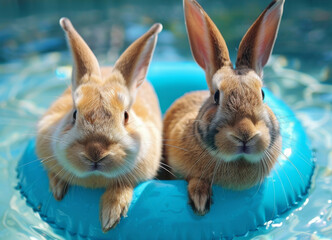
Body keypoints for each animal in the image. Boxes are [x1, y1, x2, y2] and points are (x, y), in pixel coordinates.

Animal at [36, 17, 163, 232]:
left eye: (125, 116)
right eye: (74, 114)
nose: (95, 152)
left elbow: (122, 186)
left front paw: (110, 216)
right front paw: (58, 189)